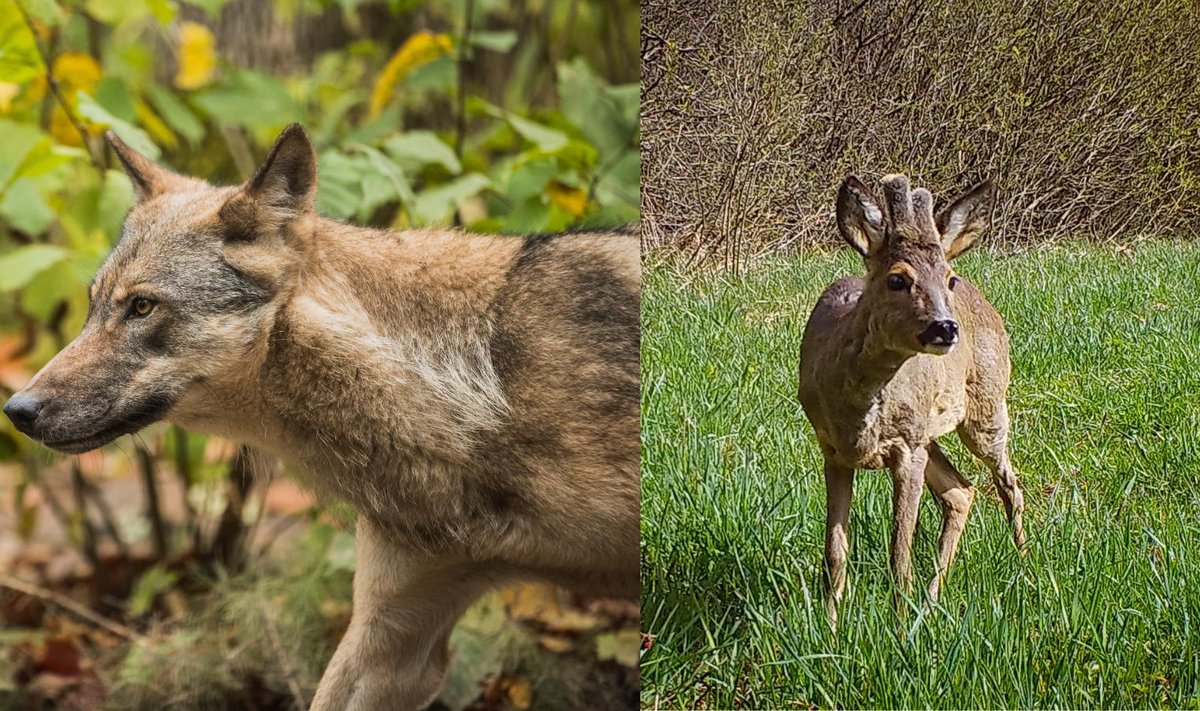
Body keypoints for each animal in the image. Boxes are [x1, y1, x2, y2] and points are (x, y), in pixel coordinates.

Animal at [801, 174, 1027, 629]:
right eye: (896, 279)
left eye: (949, 279)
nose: (945, 328)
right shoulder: (833, 449)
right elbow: (834, 553)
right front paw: (830, 628)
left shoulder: (907, 448)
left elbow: (899, 553)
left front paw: (901, 628)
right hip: (930, 432)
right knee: (961, 491)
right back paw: (932, 601)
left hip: (986, 406)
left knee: (1008, 482)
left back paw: (1027, 571)